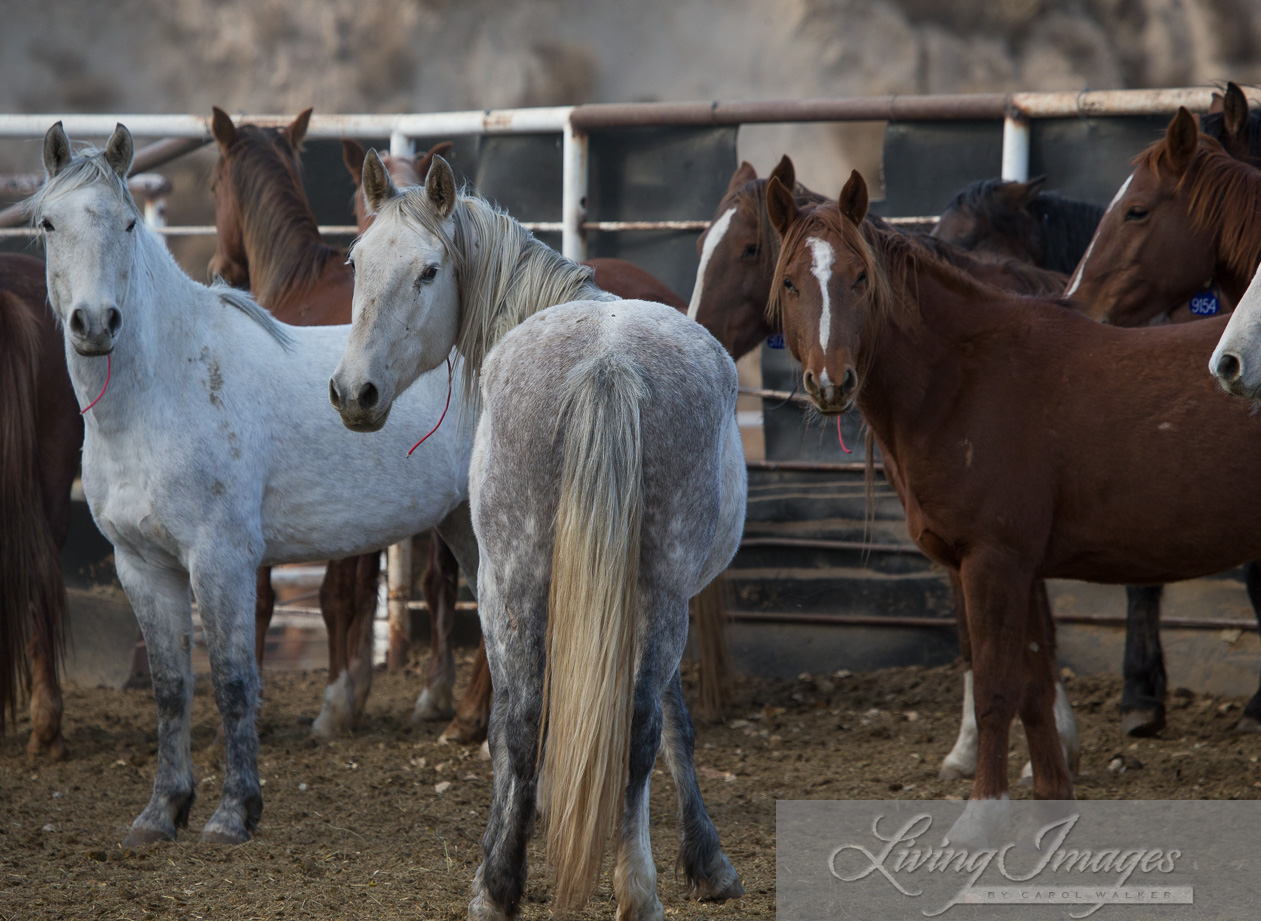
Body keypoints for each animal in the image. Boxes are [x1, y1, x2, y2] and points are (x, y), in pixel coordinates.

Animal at [34, 123, 479, 847]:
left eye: (128, 223)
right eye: (48, 223)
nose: (95, 323)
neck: (165, 389)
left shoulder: (222, 561)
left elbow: (234, 680)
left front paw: (232, 813)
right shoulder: (141, 565)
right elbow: (171, 686)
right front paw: (160, 813)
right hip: (467, 523)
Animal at [332, 152, 746, 918]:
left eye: (428, 270)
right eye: (355, 261)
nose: (354, 392)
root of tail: (607, 364)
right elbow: (671, 723)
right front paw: (707, 862)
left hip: (514, 586)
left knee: (525, 725)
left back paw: (499, 885)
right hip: (641, 595)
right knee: (630, 727)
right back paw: (631, 891)